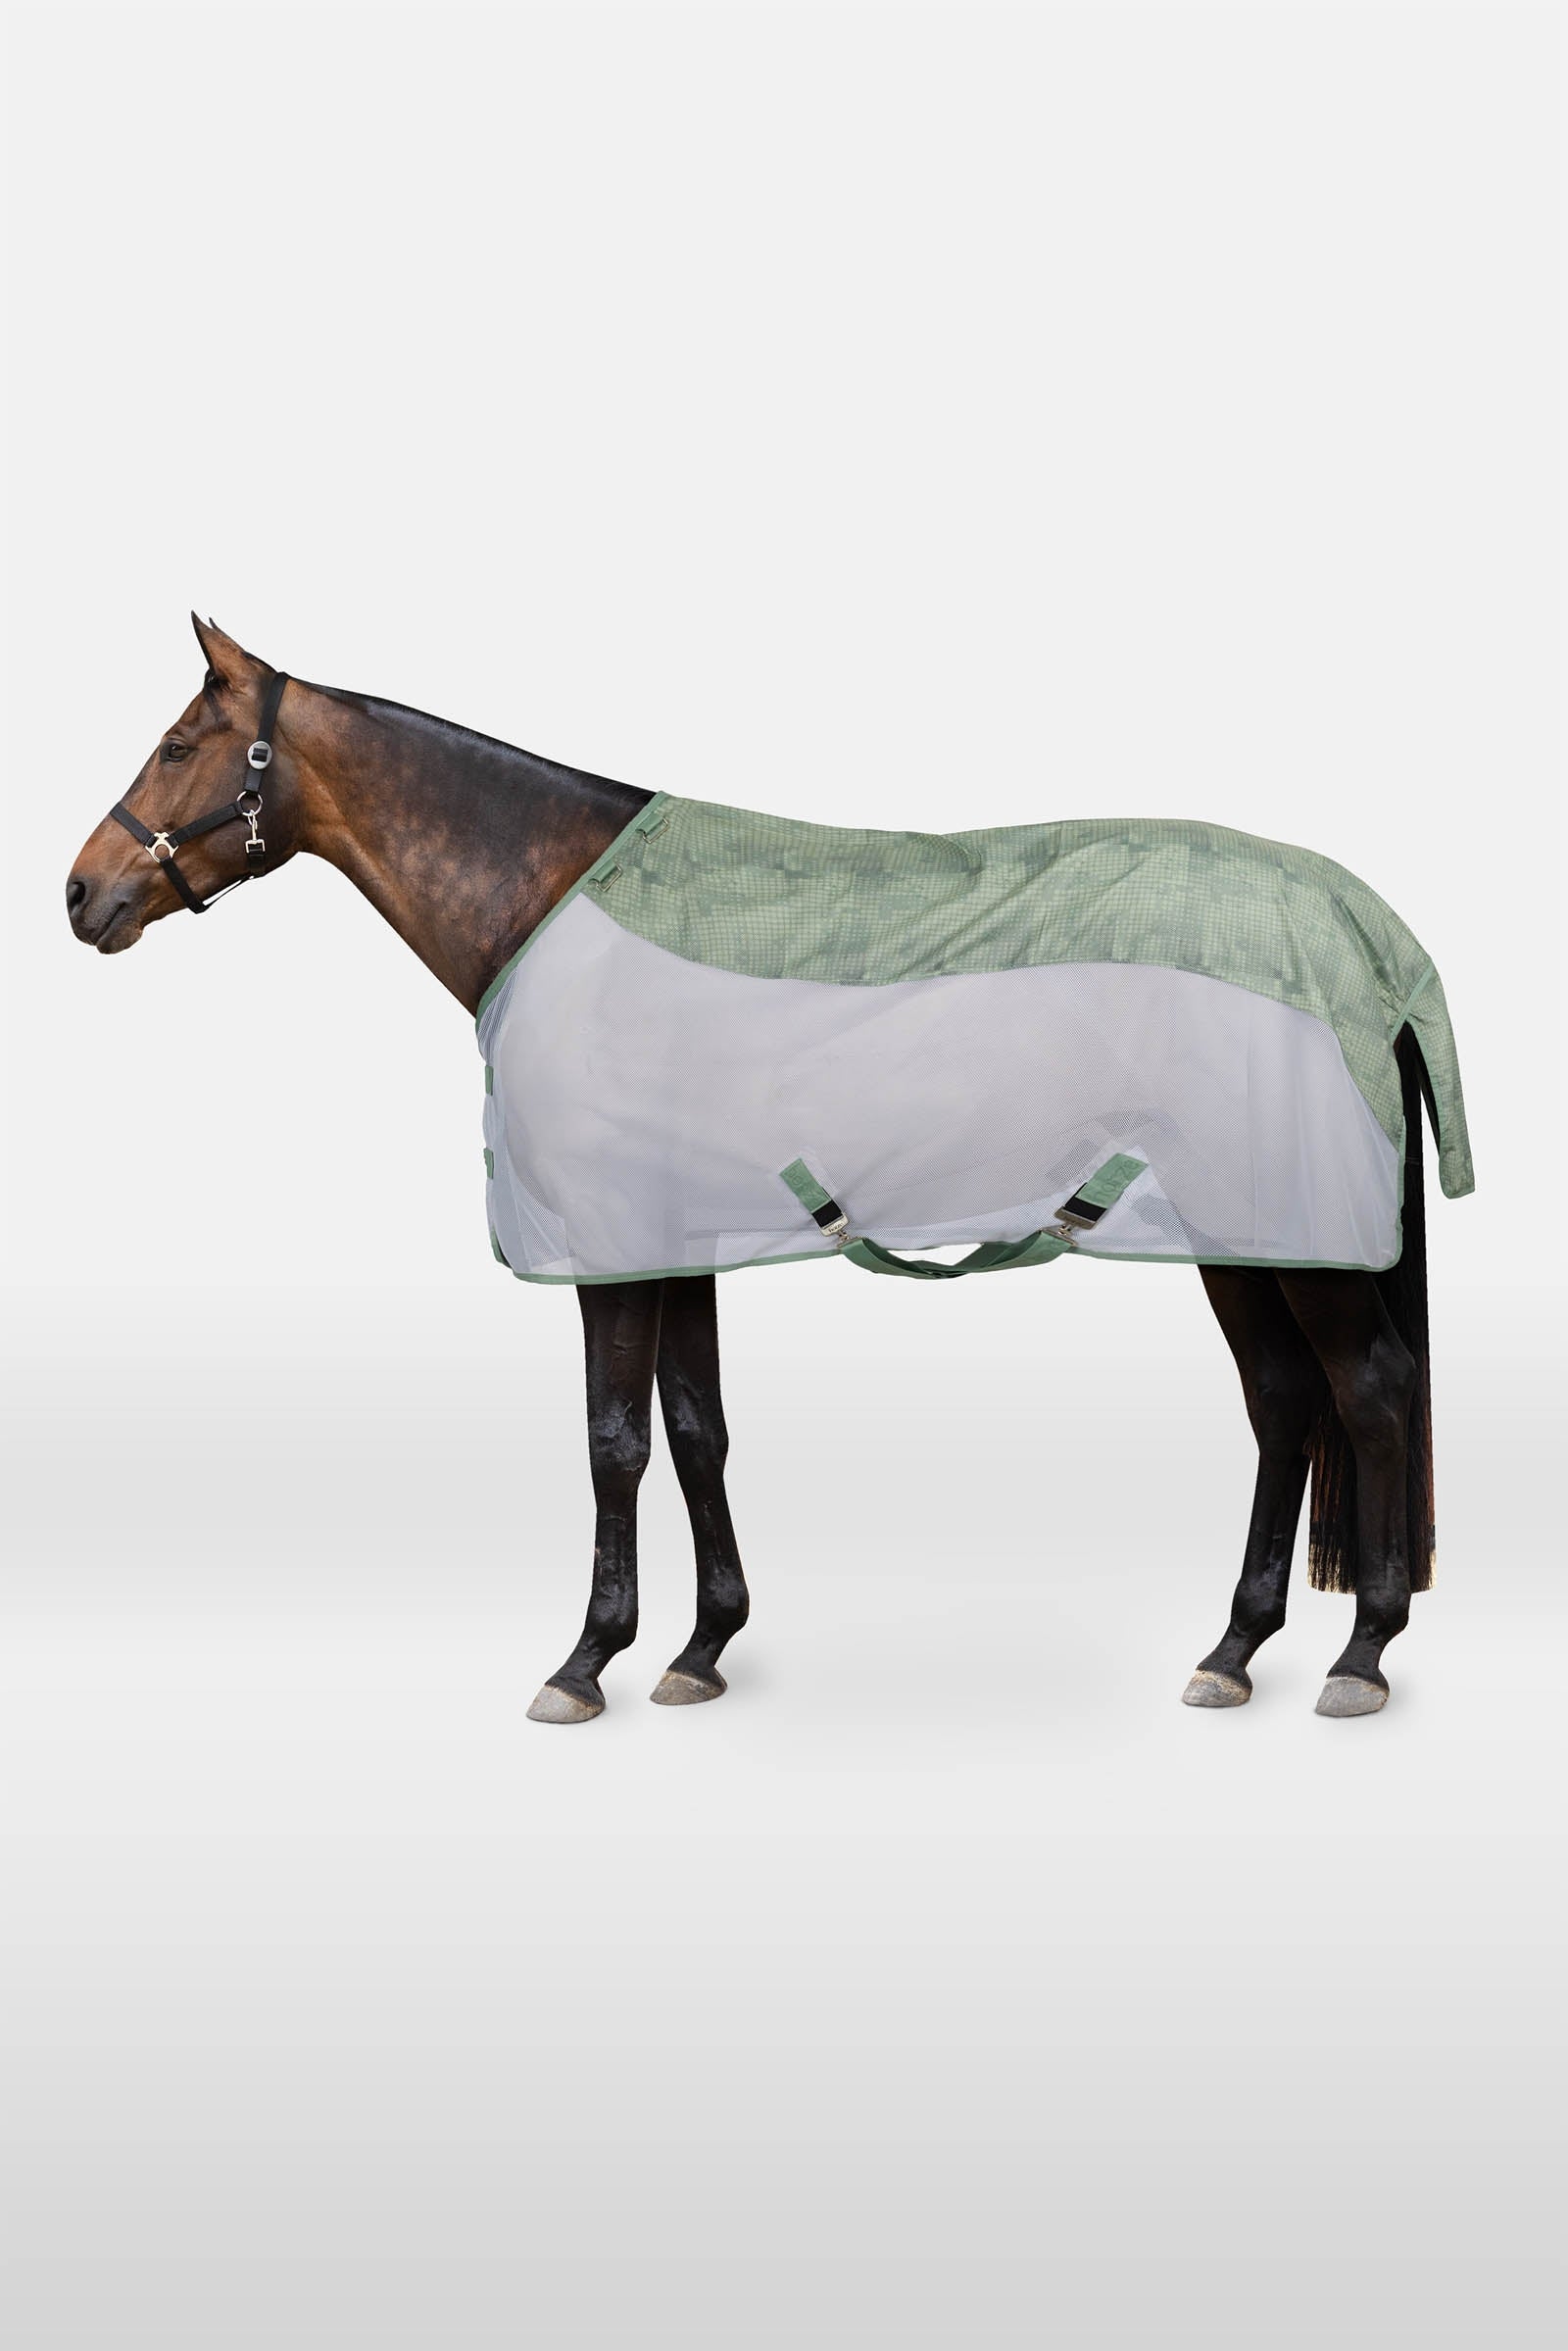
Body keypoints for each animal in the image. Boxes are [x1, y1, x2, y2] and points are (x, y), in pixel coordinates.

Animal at [66, 616, 1458, 1724]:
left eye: (179, 746)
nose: (82, 894)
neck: (549, 898)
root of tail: (1363, 927)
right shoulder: (678, 1240)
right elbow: (696, 1428)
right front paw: (702, 1646)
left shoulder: (613, 1247)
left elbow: (614, 1440)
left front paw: (587, 1661)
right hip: (1238, 1230)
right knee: (1284, 1399)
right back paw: (1234, 1646)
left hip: (1292, 1240)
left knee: (1369, 1389)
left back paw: (1363, 1652)